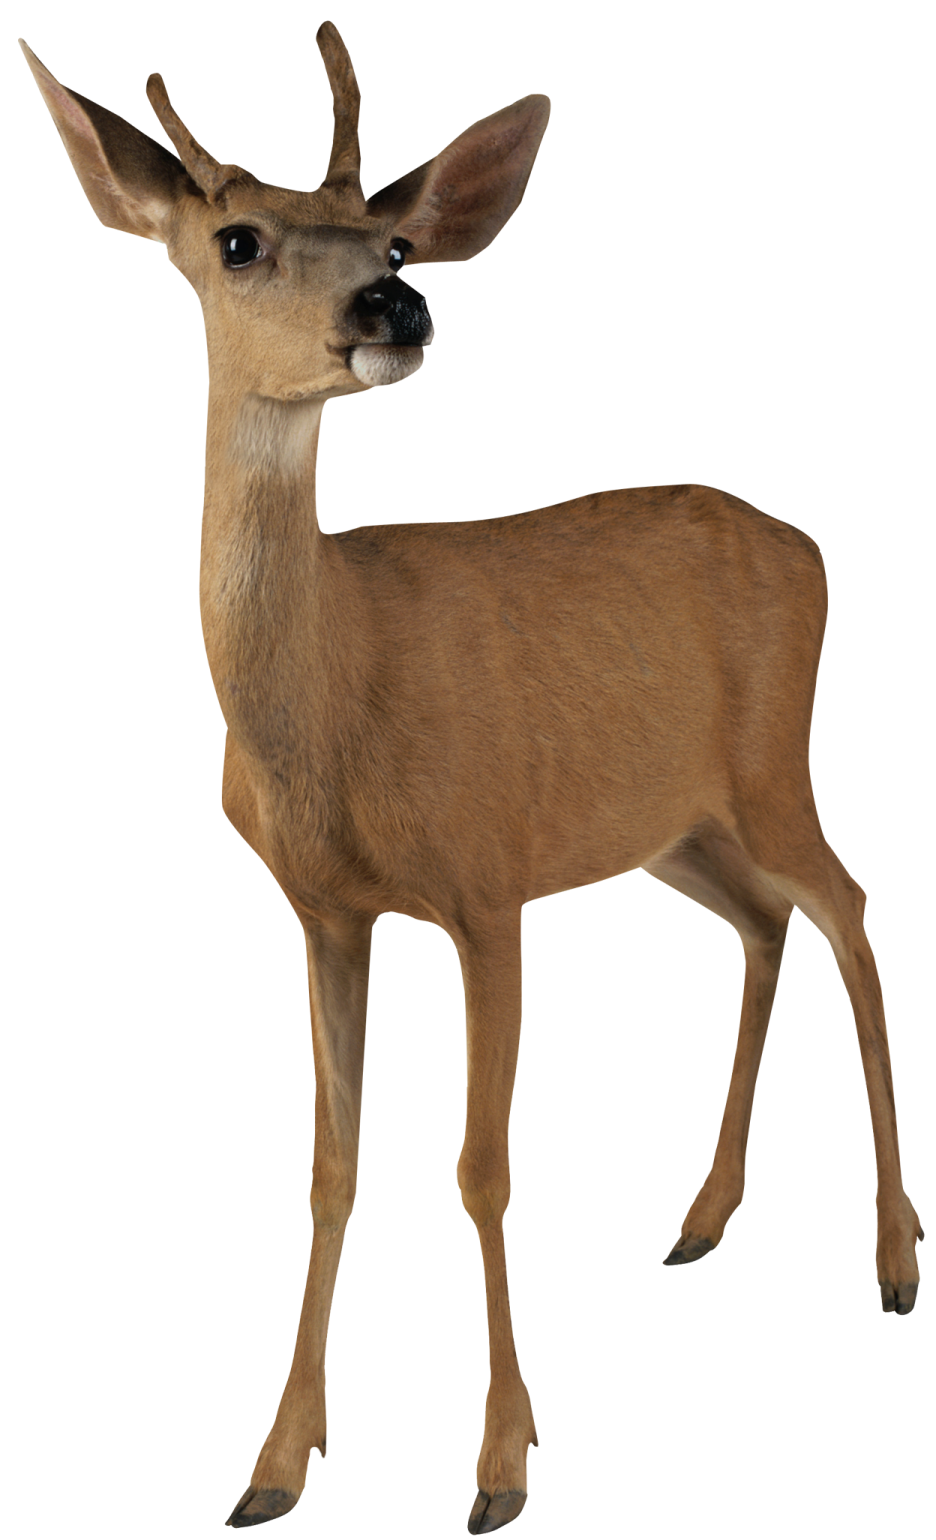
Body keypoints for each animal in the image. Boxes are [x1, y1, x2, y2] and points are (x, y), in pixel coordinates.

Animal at [20, 18, 922, 1534]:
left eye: (392, 242)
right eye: (240, 241)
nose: (399, 310)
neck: (331, 706)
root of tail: (804, 543)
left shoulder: (487, 888)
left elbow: (482, 1165)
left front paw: (501, 1464)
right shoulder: (325, 912)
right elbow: (332, 1167)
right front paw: (275, 1464)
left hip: (769, 765)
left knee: (849, 904)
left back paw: (899, 1257)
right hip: (670, 826)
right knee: (763, 923)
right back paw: (700, 1218)